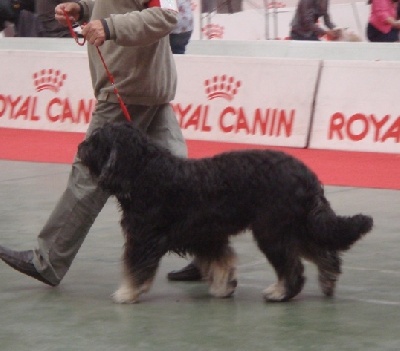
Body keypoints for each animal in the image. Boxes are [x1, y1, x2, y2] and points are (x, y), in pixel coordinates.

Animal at [79, 122, 376, 304]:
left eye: (96, 142)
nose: (80, 147)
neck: (144, 172)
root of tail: (307, 175)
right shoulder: (205, 235)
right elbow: (221, 262)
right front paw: (224, 287)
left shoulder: (144, 237)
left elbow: (136, 268)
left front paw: (127, 293)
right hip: (297, 225)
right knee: (325, 252)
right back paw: (327, 280)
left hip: (273, 230)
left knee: (294, 267)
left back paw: (280, 293)